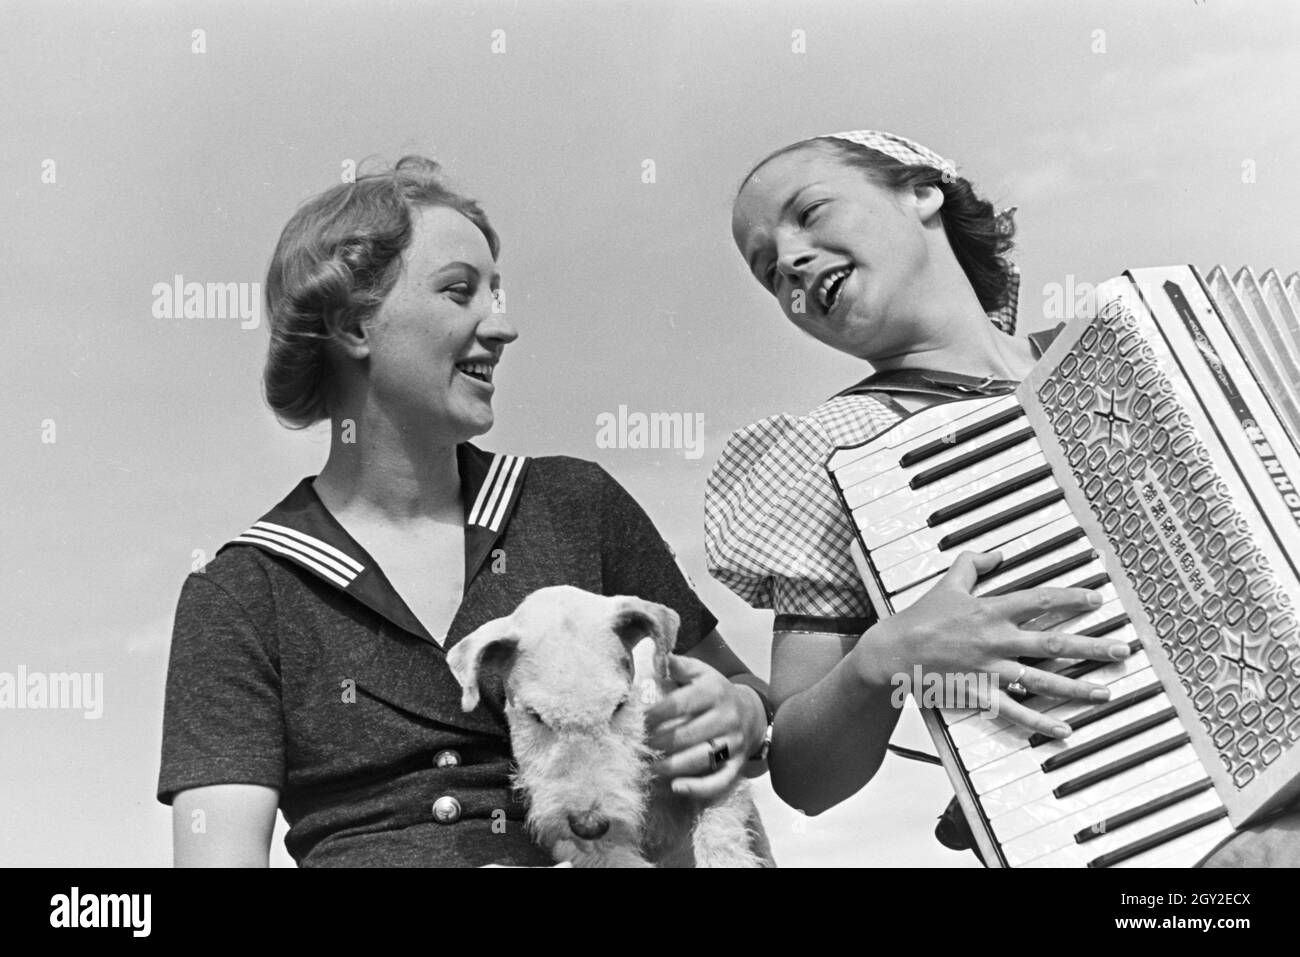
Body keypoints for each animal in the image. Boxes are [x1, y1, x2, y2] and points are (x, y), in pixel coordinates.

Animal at [447, 582, 769, 868]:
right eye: (535, 715)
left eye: (619, 705)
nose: (589, 824)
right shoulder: (568, 840)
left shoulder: (719, 779)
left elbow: (719, 835)